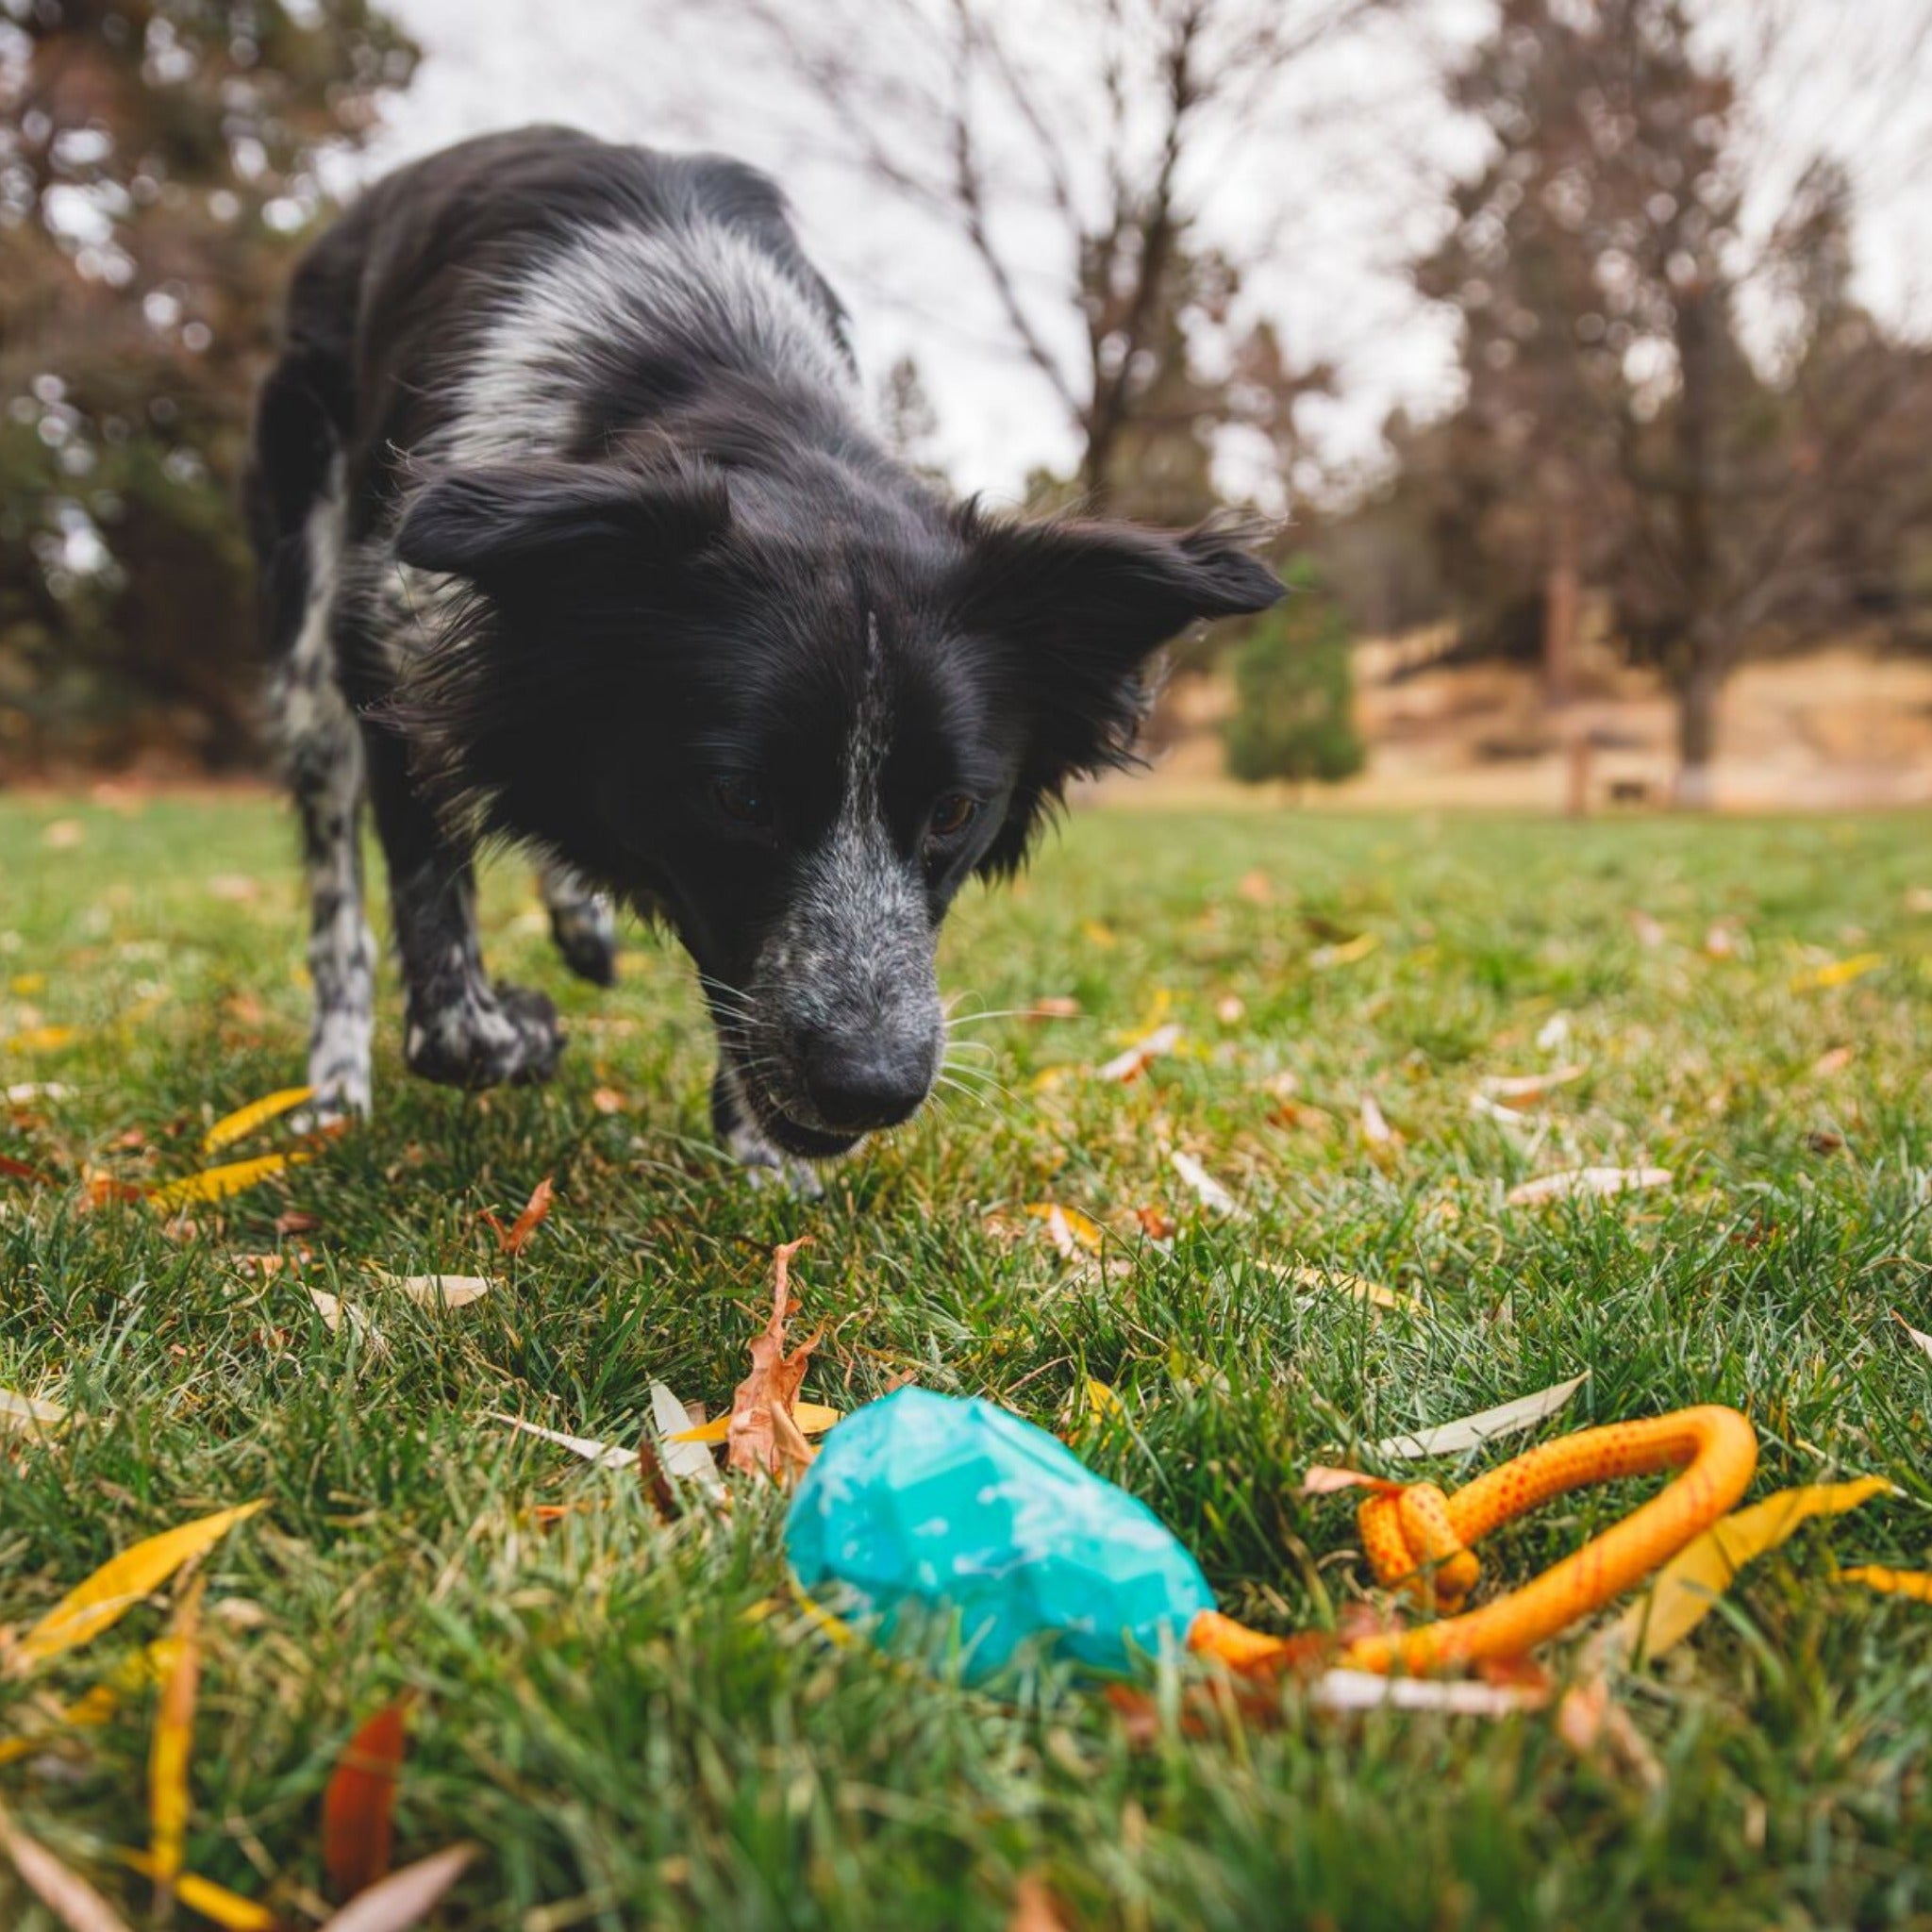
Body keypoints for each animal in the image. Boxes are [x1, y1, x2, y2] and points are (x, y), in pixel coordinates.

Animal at [249, 132, 1282, 1174]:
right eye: (739, 798)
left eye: (955, 810)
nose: (872, 1087)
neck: (710, 361)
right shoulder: (391, 638)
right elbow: (447, 1006)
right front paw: (519, 1028)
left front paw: (753, 1144)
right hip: (307, 636)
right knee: (336, 895)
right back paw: (333, 1091)